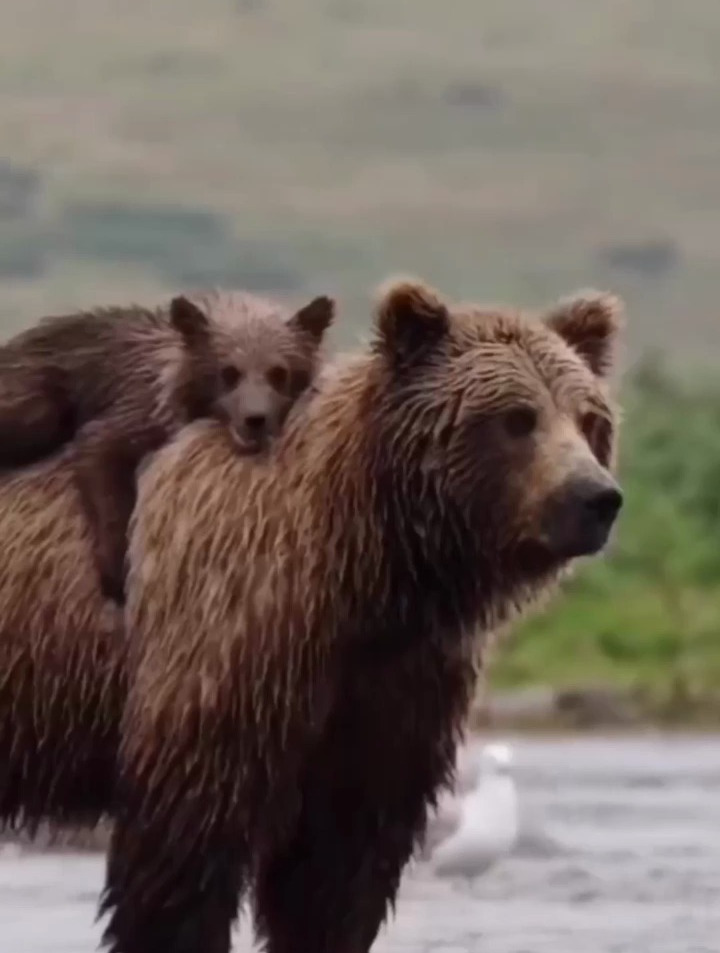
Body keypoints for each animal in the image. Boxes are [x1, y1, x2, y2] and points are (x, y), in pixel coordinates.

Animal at [102, 278, 624, 952]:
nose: (596, 498)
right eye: (517, 418)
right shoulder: (222, 653)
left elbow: (337, 873)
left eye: (590, 419)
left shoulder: (388, 697)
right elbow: (182, 861)